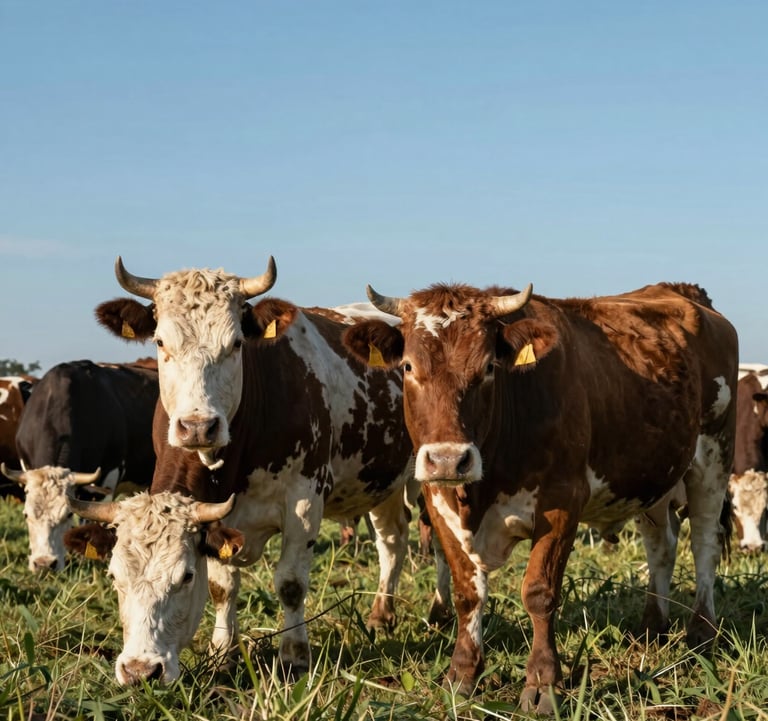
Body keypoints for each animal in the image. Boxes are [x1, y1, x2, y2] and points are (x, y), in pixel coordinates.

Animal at [66, 256, 421, 686]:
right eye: (161, 343)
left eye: (236, 343)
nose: (140, 671)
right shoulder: (218, 512)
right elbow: (223, 587)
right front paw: (223, 653)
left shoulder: (304, 500)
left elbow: (290, 583)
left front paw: (294, 656)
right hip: (383, 482)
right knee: (392, 541)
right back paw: (382, 616)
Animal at [341, 280, 738, 714]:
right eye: (409, 367)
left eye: (488, 368)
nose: (448, 458)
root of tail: (682, 292)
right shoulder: (438, 500)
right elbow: (467, 593)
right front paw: (461, 676)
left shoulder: (562, 502)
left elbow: (539, 592)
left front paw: (543, 684)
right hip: (652, 479)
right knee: (661, 546)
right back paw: (652, 626)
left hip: (714, 458)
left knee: (703, 544)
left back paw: (700, 631)